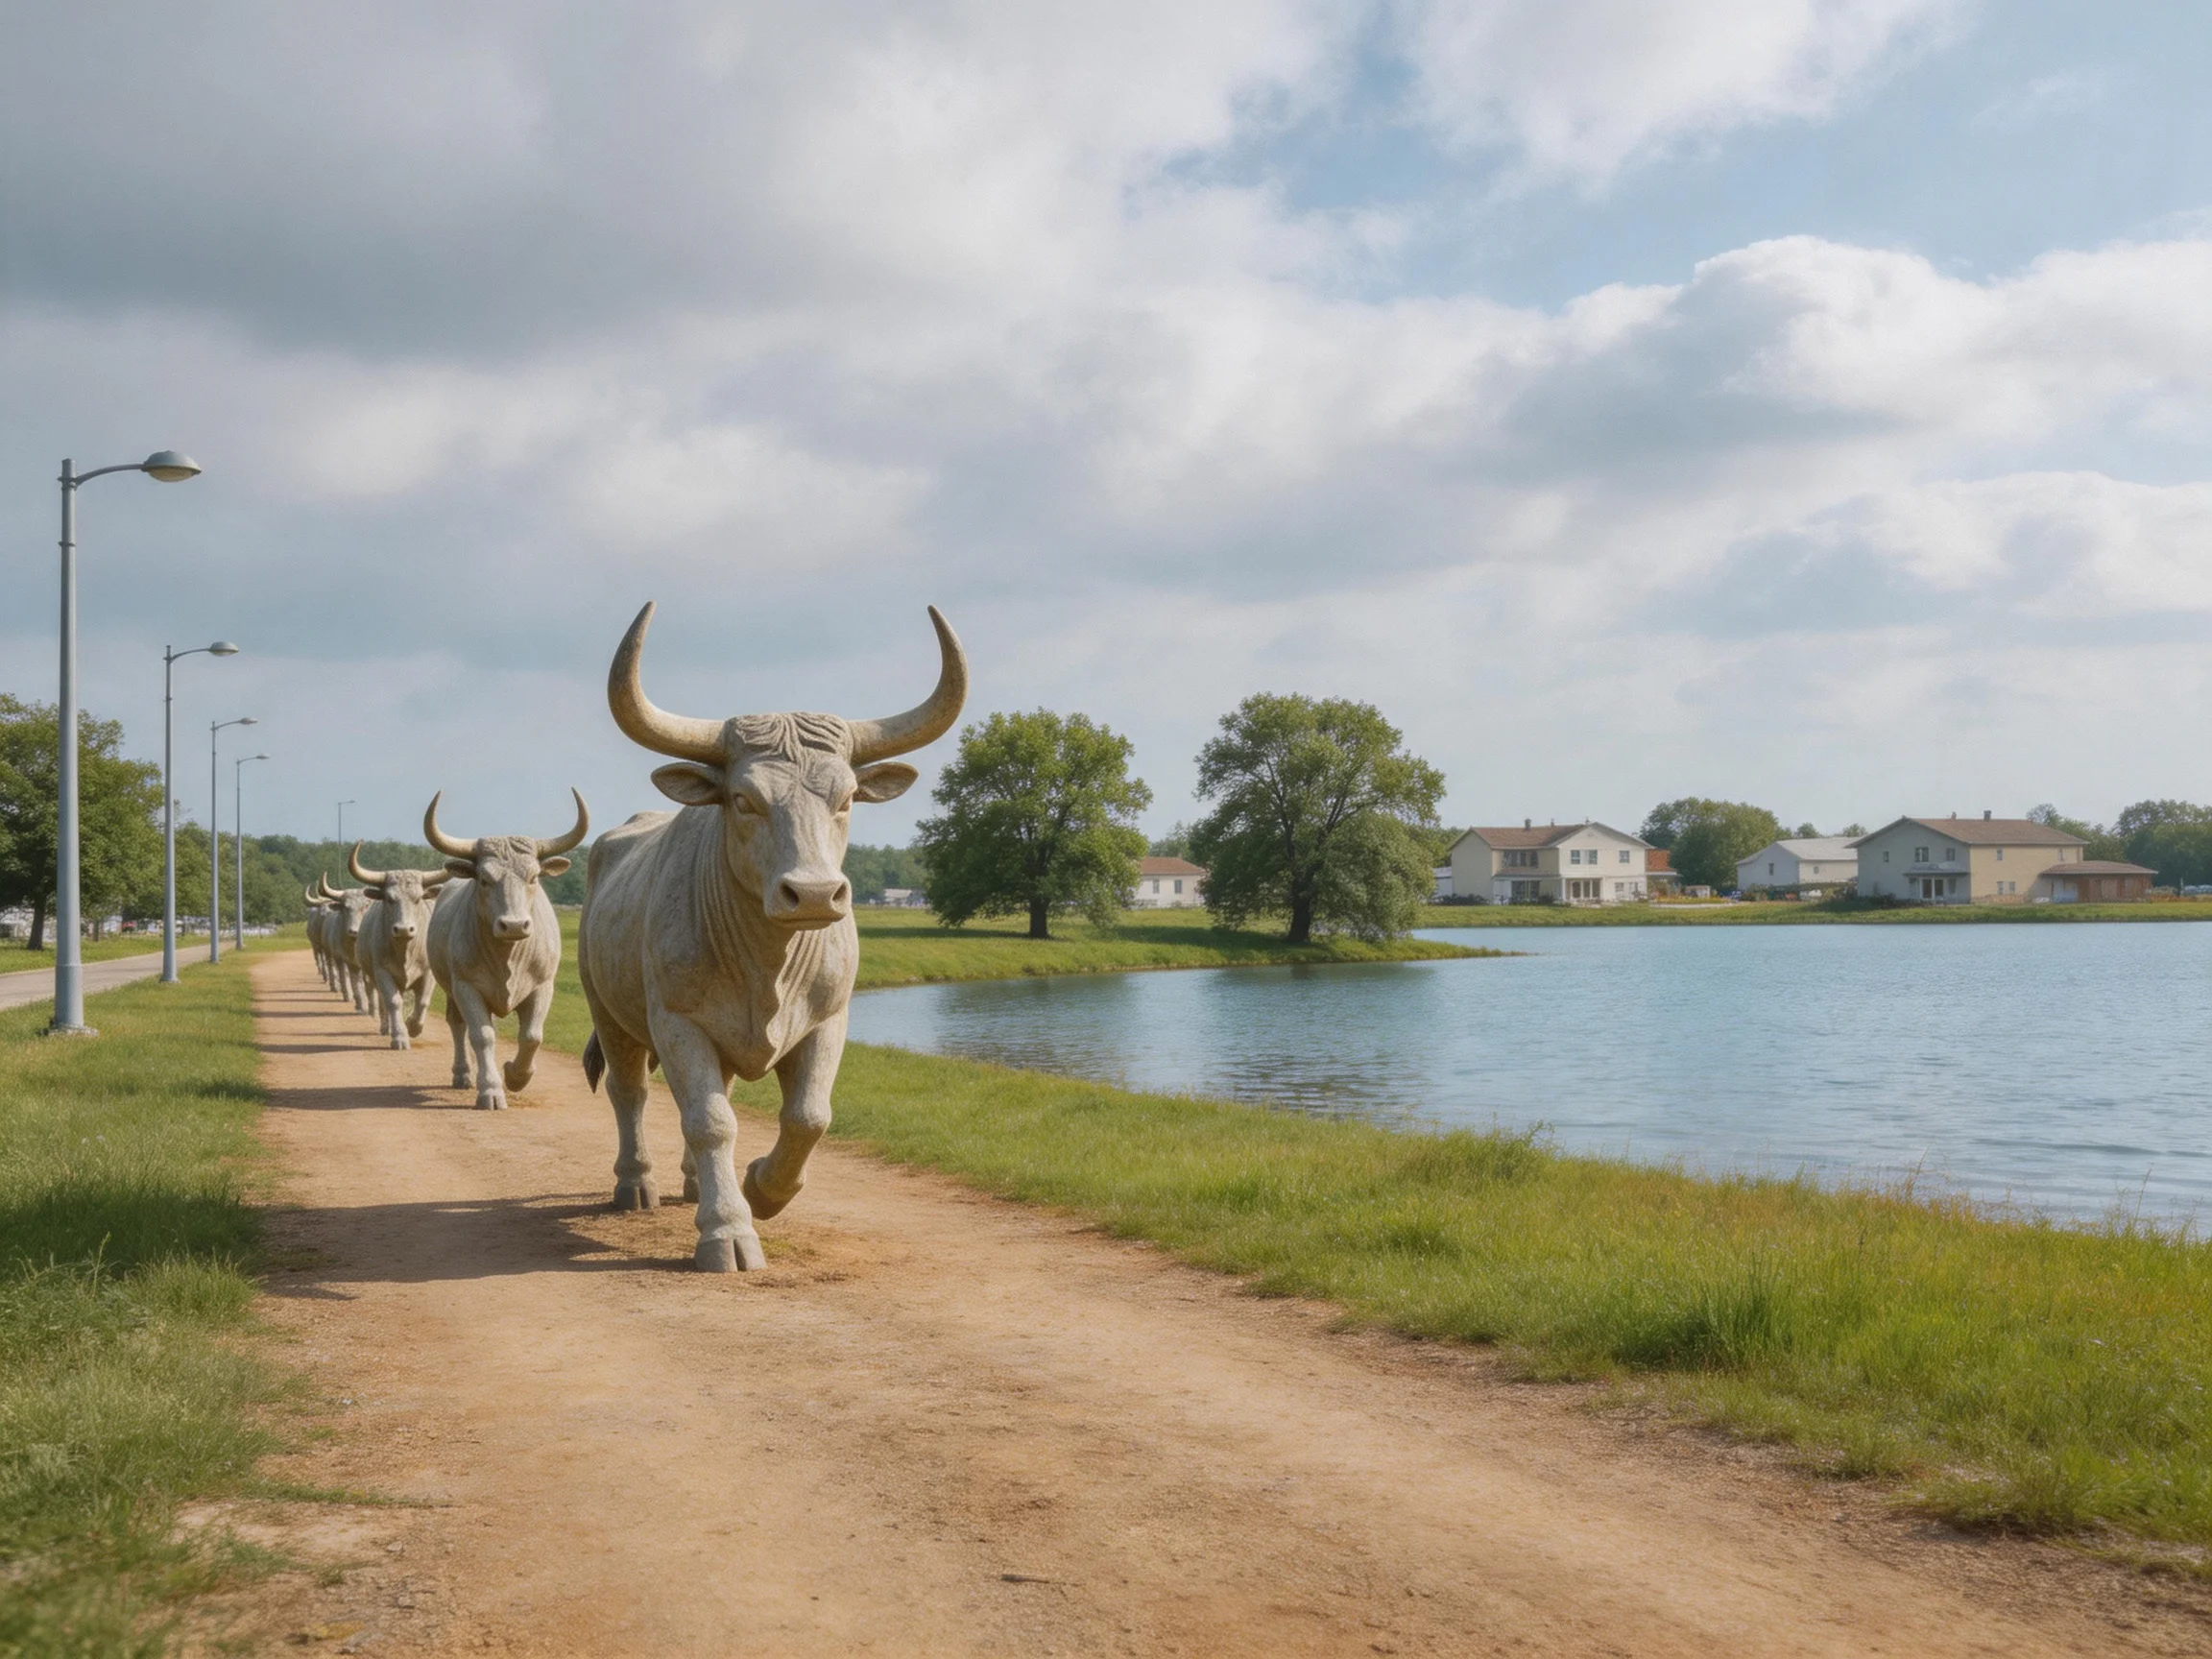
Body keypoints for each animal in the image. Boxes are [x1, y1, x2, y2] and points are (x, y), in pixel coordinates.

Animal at [348, 845, 453, 1050]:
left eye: (418, 899)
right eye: (390, 899)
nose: (404, 929)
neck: (406, 951)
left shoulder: (428, 972)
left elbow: (423, 1001)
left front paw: (413, 1026)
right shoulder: (382, 972)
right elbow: (393, 1002)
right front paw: (399, 1037)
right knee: (383, 1001)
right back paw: (386, 1027)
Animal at [423, 790, 589, 1111]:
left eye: (534, 877)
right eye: (484, 879)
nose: (513, 925)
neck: (507, 956)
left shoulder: (543, 987)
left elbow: (532, 1036)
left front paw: (515, 1075)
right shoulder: (466, 987)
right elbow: (482, 1036)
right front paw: (490, 1090)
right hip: (450, 990)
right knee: (458, 1026)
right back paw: (464, 1074)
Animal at [577, 600, 963, 1271]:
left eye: (847, 797)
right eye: (743, 799)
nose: (813, 894)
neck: (767, 964)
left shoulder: (828, 1021)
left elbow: (808, 1116)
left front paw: (760, 1189)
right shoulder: (677, 1023)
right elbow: (710, 1121)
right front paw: (727, 1231)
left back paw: (696, 1185)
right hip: (611, 1014)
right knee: (632, 1095)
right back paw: (638, 1183)